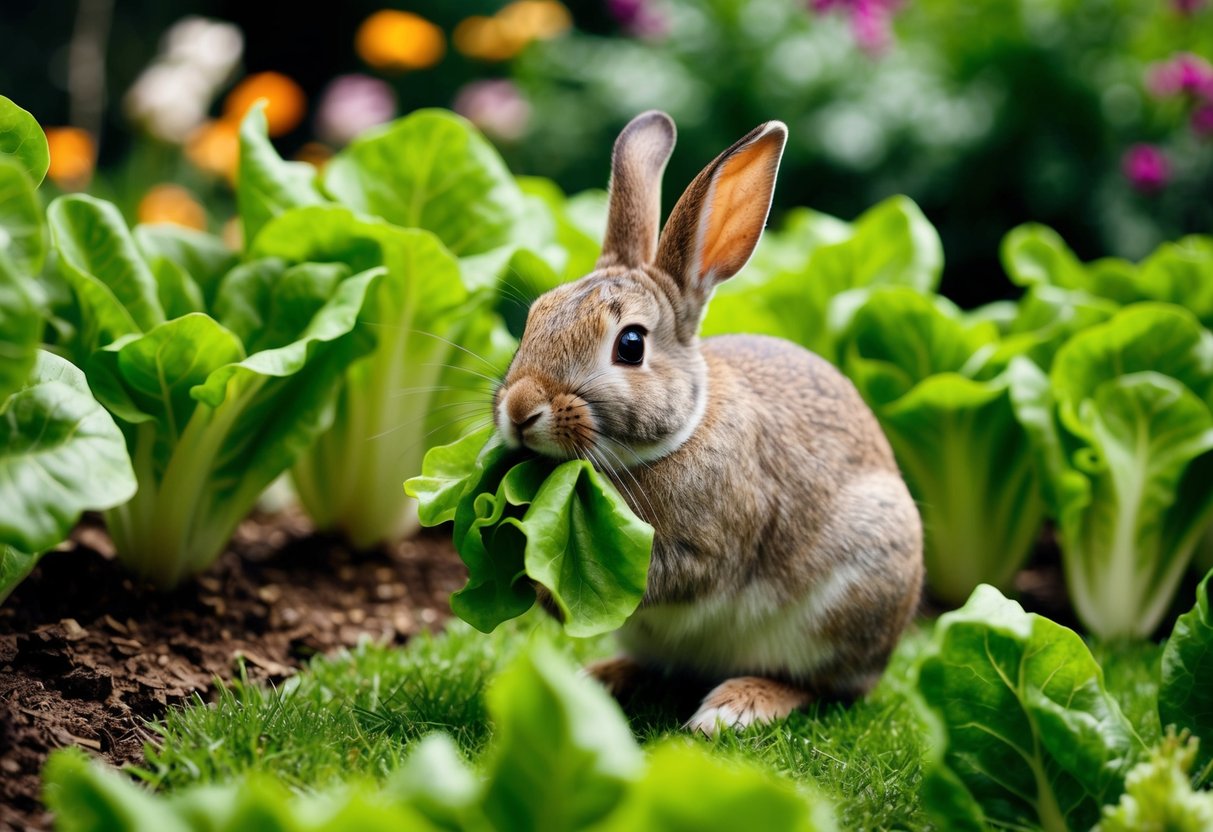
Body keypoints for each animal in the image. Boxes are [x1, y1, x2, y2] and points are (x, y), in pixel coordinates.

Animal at [493, 110, 924, 735]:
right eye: (534, 317)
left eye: (630, 345)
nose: (521, 409)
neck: (677, 434)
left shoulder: (706, 547)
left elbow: (664, 576)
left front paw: (536, 580)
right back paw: (599, 679)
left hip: (854, 592)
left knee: (821, 687)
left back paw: (735, 707)